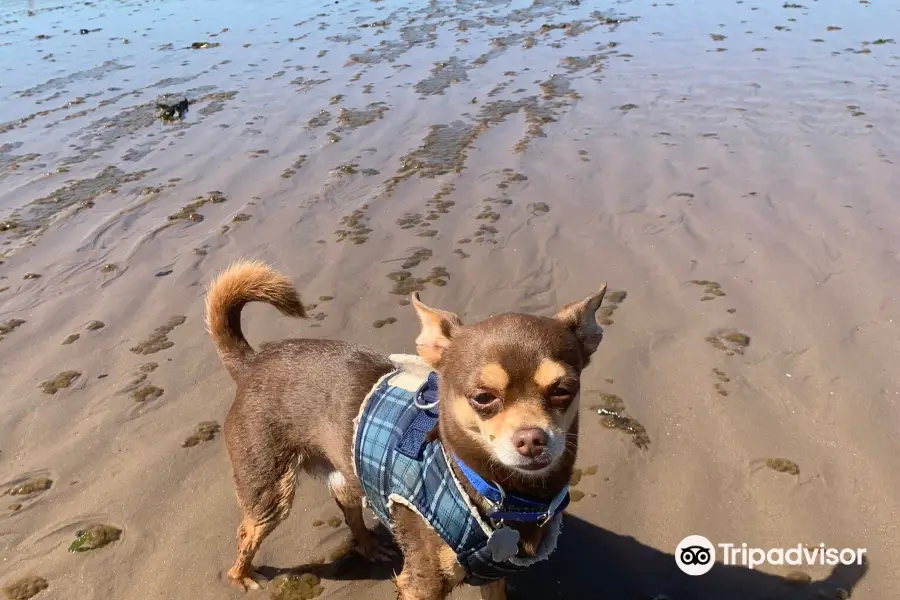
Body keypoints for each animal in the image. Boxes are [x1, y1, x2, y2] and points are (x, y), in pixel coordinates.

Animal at [207, 262, 608, 600]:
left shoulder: (494, 577)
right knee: (248, 532)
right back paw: (242, 576)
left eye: (563, 390)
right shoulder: (422, 586)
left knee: (346, 503)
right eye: (483, 397)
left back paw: (370, 547)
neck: (502, 494)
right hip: (269, 492)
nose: (531, 439)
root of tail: (250, 362)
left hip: (345, 471)